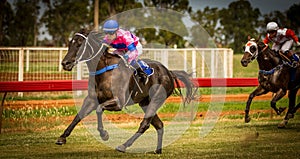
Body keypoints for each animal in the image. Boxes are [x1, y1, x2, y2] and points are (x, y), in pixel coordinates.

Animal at [56, 29, 196, 153]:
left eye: (80, 43)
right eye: (70, 43)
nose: (65, 63)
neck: (104, 71)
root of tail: (169, 72)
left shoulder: (118, 102)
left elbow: (99, 109)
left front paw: (104, 134)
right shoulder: (91, 100)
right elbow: (78, 116)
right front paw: (62, 138)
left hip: (156, 100)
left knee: (145, 124)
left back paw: (123, 146)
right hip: (145, 103)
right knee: (159, 124)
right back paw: (158, 150)